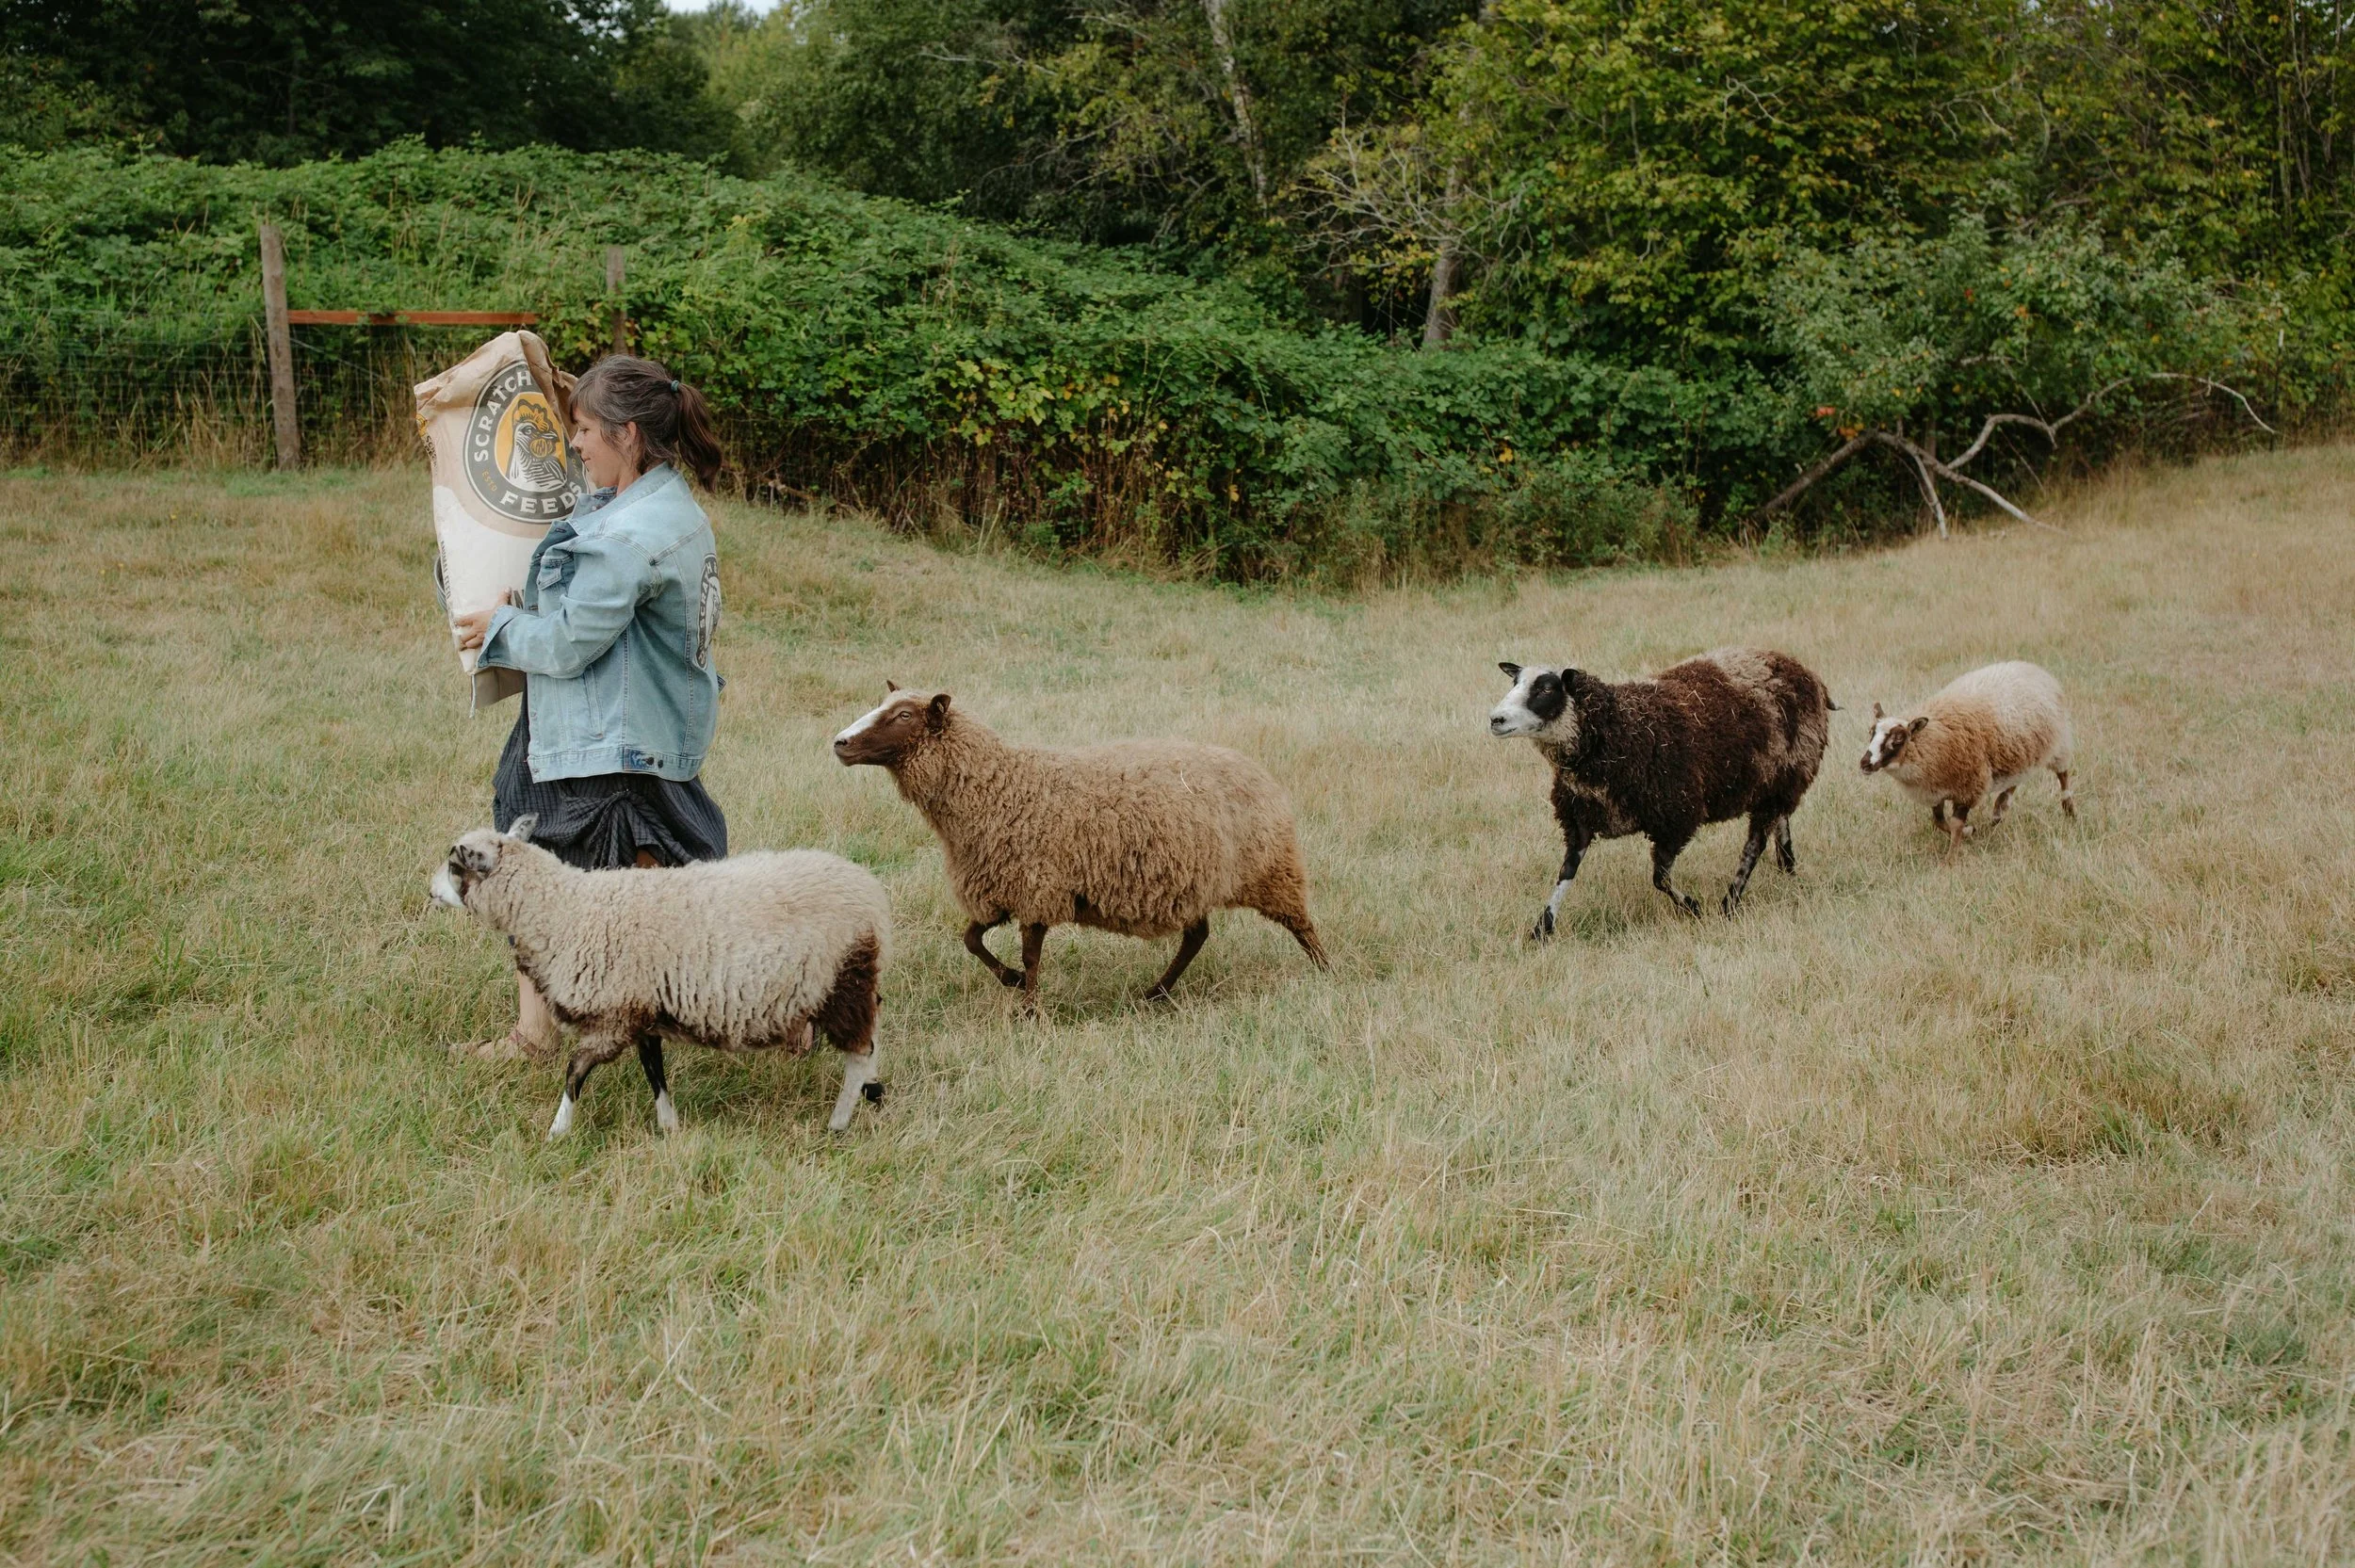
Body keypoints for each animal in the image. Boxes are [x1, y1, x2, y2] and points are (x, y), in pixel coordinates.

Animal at [429, 816, 892, 1136]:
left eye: (454, 863)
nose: (430, 892)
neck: (564, 912)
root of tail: (871, 894)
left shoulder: (612, 1017)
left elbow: (574, 1072)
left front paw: (556, 1131)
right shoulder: (642, 1010)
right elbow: (655, 1072)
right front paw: (670, 1127)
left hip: (841, 982)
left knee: (859, 1053)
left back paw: (839, 1121)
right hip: (851, 984)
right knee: (870, 1041)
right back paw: (871, 1092)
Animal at [830, 684, 1327, 1011]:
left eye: (904, 716)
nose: (840, 743)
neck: (1001, 788)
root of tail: (1258, 771)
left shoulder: (1036, 887)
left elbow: (1030, 954)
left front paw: (1029, 1008)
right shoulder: (999, 889)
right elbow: (971, 940)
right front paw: (1013, 982)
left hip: (1273, 869)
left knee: (1302, 927)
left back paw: (1328, 976)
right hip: (1195, 881)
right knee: (1196, 937)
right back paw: (1156, 993)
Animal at [1488, 648, 1834, 937]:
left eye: (1547, 689)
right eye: (1515, 682)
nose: (1495, 719)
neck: (1619, 729)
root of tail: (1803, 670)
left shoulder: (1678, 817)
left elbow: (1660, 878)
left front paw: (1693, 907)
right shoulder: (1579, 819)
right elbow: (1566, 872)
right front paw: (1541, 929)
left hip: (1785, 776)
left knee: (1755, 844)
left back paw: (1730, 902)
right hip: (1776, 783)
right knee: (1780, 824)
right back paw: (1788, 870)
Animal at [1860, 660, 2075, 849]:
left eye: (1897, 740)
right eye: (1871, 733)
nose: (1864, 764)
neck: (1931, 741)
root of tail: (2034, 668)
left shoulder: (1969, 786)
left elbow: (1955, 824)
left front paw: (1950, 860)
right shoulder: (1935, 791)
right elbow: (1939, 822)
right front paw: (1970, 831)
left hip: (2060, 743)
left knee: (2063, 775)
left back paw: (2069, 810)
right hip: (2019, 753)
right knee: (2015, 780)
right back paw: (1999, 809)